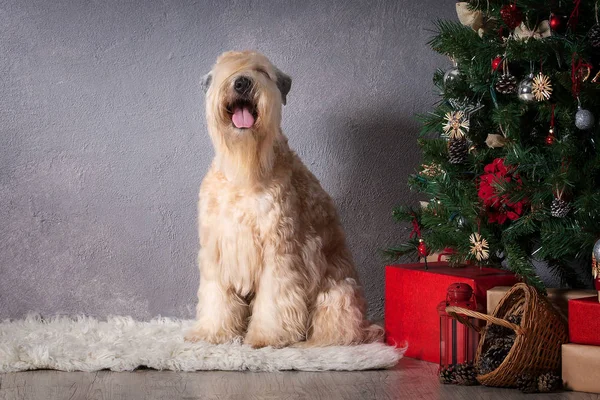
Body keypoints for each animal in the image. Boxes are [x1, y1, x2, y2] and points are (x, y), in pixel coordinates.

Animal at [185, 51, 382, 348]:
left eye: (262, 71)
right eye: (225, 71)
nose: (242, 82)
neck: (245, 172)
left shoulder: (279, 248)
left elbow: (273, 298)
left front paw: (266, 336)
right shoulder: (218, 247)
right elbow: (216, 296)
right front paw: (212, 332)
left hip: (338, 291)